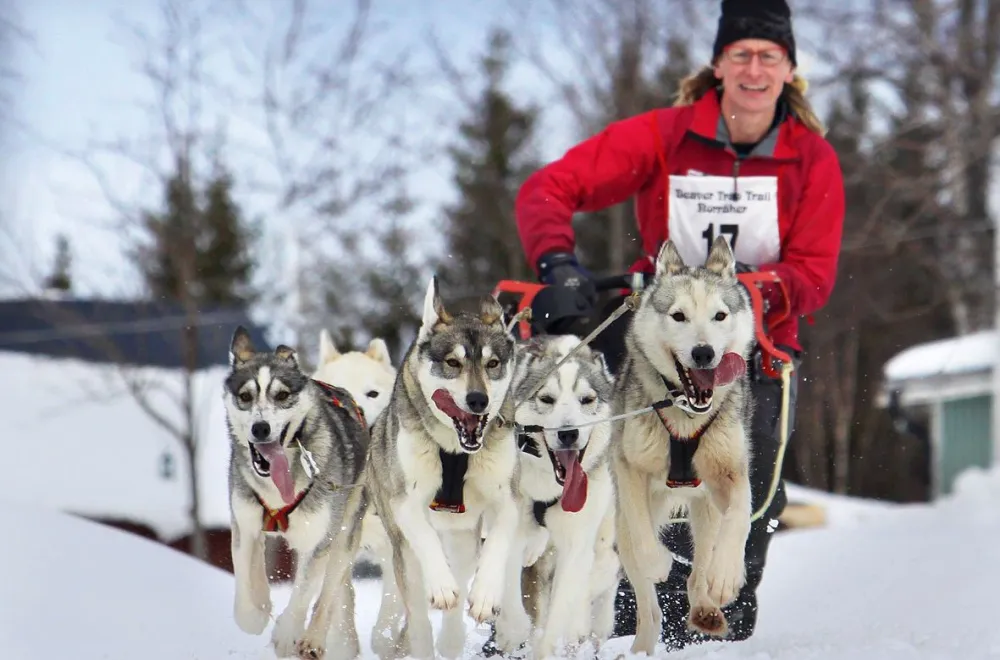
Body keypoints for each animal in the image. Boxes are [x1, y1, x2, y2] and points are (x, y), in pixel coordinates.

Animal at [225, 328, 370, 660]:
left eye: (281, 395)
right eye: (245, 396)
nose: (260, 428)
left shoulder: (317, 541)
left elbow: (304, 592)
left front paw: (287, 634)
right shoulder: (245, 524)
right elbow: (244, 594)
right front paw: (257, 610)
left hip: (344, 535)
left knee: (329, 595)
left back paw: (314, 639)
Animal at [608, 237, 756, 656]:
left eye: (720, 315)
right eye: (678, 316)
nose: (704, 353)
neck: (686, 414)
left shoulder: (729, 474)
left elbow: (741, 513)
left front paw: (727, 576)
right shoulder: (630, 470)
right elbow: (645, 544)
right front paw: (659, 563)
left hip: (704, 510)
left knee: (700, 566)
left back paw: (707, 604)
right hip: (623, 525)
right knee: (646, 600)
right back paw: (642, 642)